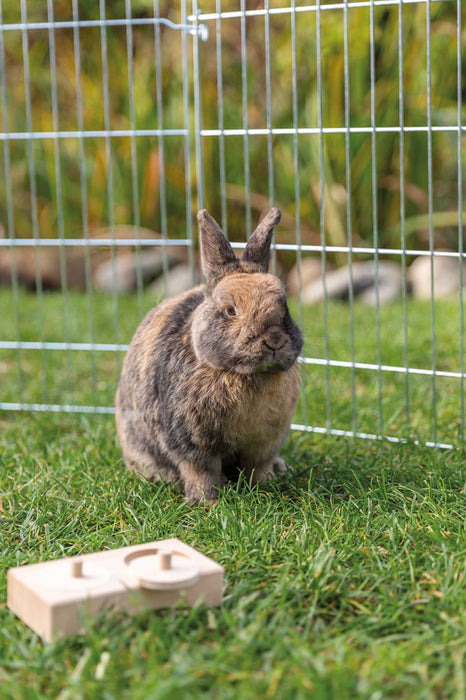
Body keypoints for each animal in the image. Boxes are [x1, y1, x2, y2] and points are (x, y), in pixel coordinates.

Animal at [116, 208, 302, 504]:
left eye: (284, 306)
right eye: (230, 310)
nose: (274, 340)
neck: (245, 376)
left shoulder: (265, 443)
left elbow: (258, 466)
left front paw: (266, 485)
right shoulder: (191, 443)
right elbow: (201, 471)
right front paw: (208, 502)